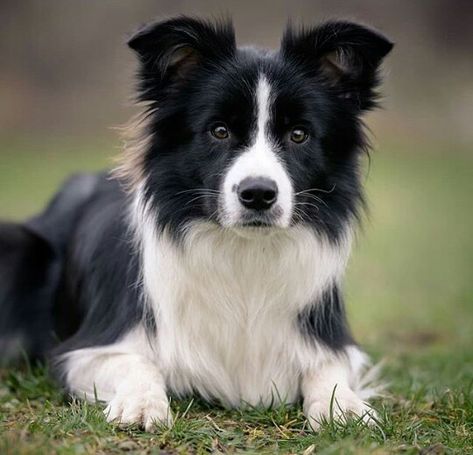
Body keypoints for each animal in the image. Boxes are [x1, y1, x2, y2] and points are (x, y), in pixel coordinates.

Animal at [0, 16, 390, 432]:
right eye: (219, 131)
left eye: (298, 134)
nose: (258, 194)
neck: (243, 253)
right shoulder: (87, 350)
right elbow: (138, 363)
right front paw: (141, 404)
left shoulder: (328, 340)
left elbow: (327, 368)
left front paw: (343, 407)